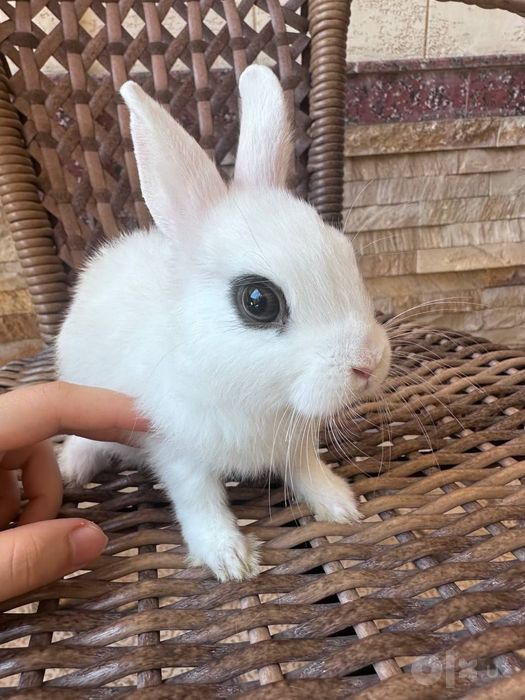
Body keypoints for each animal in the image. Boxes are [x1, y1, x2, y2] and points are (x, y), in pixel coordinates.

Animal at [56, 65, 391, 582]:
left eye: (345, 253)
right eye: (258, 301)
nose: (368, 363)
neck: (258, 396)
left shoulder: (295, 442)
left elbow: (306, 470)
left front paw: (340, 504)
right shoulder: (178, 451)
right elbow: (200, 502)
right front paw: (231, 559)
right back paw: (72, 467)